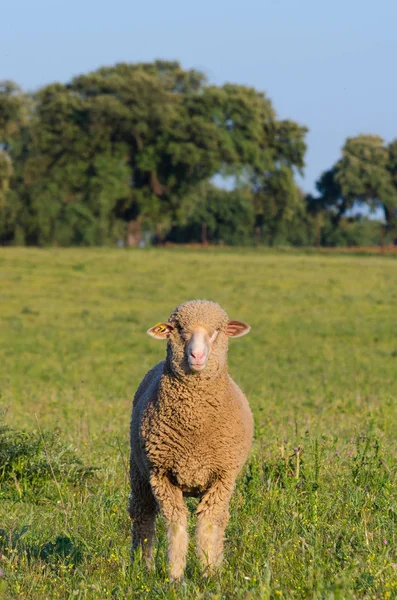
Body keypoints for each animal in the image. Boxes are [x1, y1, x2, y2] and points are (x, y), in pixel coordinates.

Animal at [128, 300, 252, 580]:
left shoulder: (222, 477)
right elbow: (176, 525)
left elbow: (208, 525)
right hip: (139, 472)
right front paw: (175, 575)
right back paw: (142, 566)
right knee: (143, 517)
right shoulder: (161, 475)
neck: (195, 424)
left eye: (217, 331)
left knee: (221, 519)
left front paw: (208, 572)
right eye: (179, 330)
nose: (196, 356)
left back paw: (217, 562)